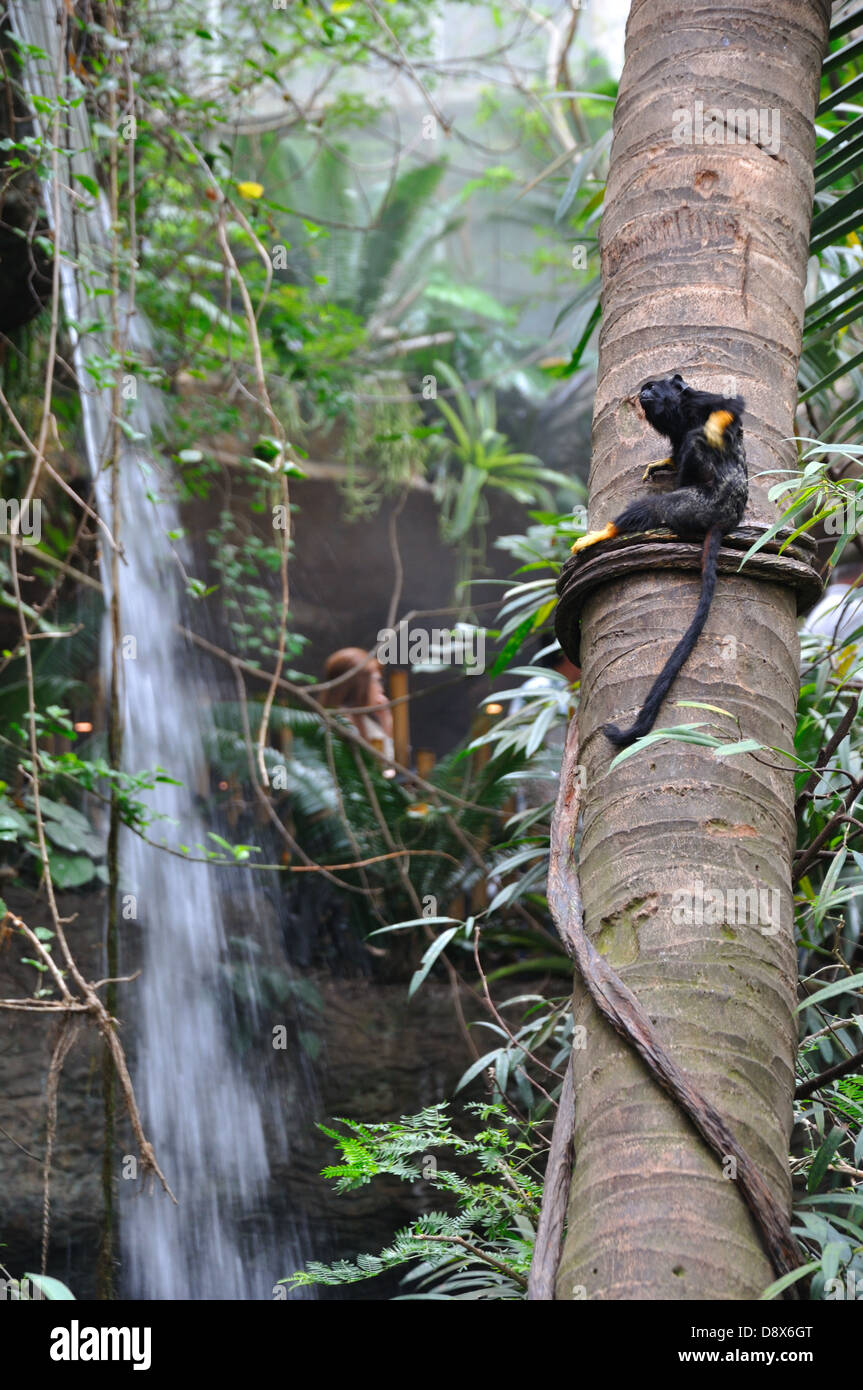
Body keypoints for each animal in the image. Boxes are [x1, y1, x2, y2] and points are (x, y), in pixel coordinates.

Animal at [570, 374, 748, 749]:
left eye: (654, 387)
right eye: (644, 389)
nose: (644, 393)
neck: (679, 414)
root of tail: (725, 518)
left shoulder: (699, 400)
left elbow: (730, 407)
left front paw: (712, 431)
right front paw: (665, 463)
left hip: (695, 504)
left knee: (661, 499)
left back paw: (604, 533)